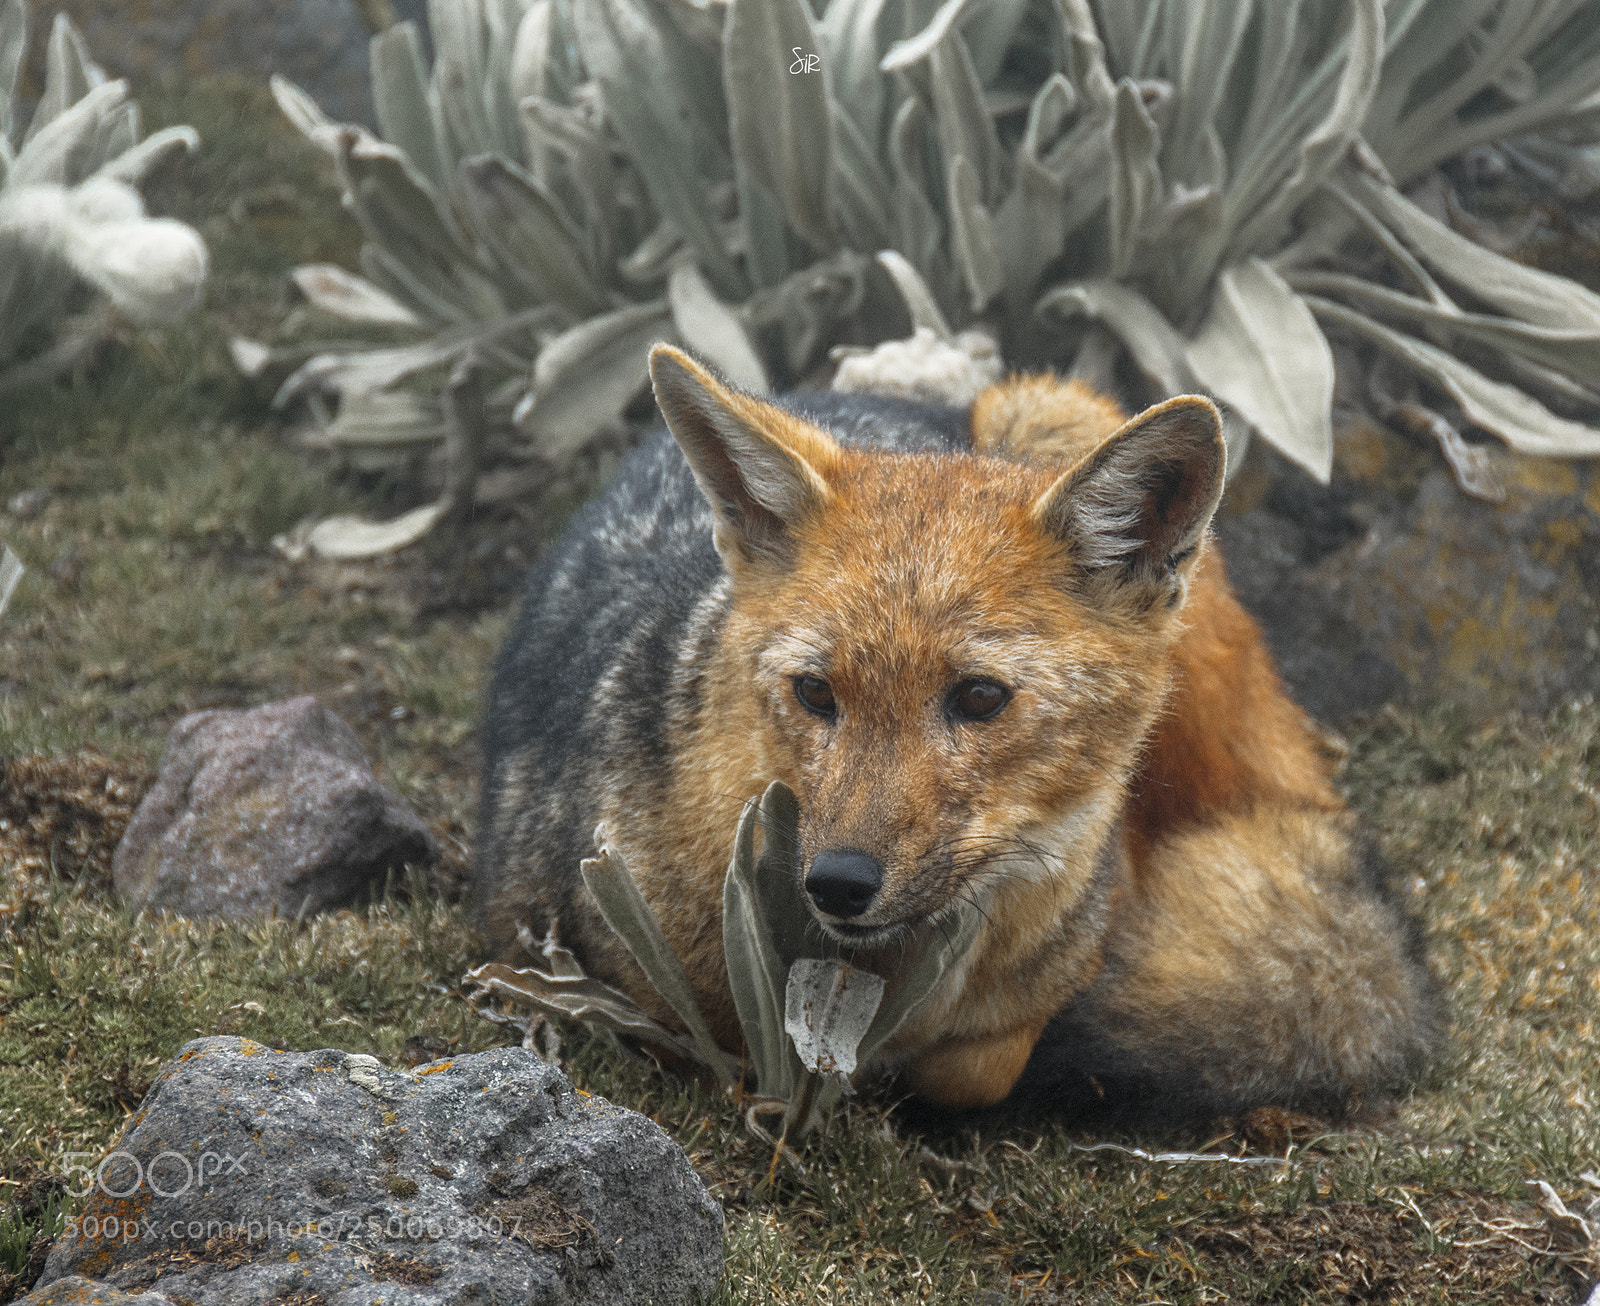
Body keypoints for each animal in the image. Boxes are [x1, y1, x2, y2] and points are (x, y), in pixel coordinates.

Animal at [474, 343, 1440, 1117]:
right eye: (815, 693)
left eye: (978, 698)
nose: (839, 881)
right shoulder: (587, 965)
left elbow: (980, 1067)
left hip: (1050, 409)